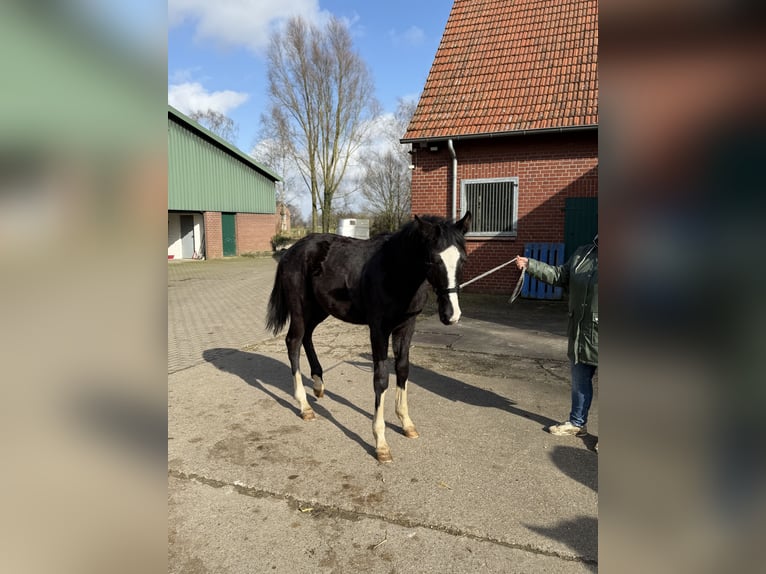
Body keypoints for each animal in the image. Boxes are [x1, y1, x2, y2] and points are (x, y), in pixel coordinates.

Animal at [270, 214, 474, 466]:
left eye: (463, 260)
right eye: (432, 260)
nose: (451, 315)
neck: (395, 272)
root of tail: (290, 250)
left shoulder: (406, 327)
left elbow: (403, 370)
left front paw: (407, 424)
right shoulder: (378, 329)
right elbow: (381, 378)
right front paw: (381, 444)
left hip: (320, 309)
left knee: (307, 337)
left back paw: (318, 385)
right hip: (300, 310)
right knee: (294, 341)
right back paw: (304, 406)